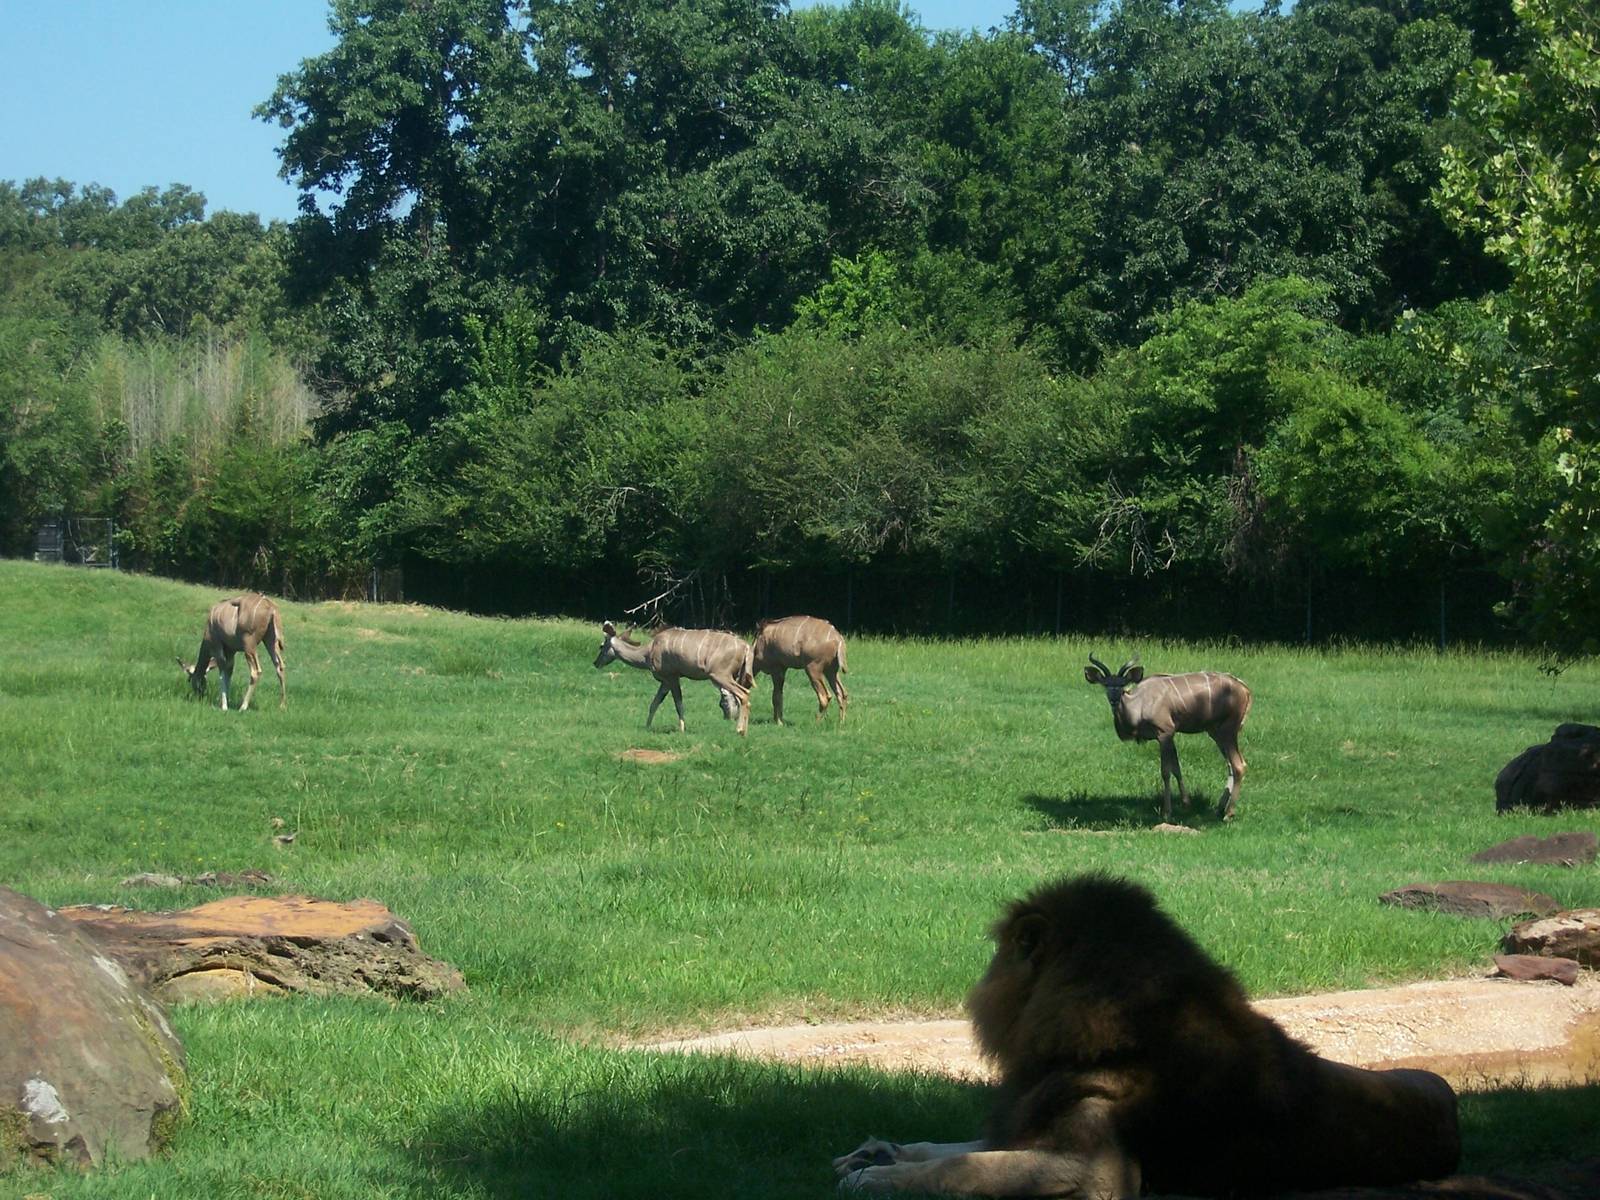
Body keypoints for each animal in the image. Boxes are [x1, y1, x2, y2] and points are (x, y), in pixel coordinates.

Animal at [833, 875, 1460, 1197]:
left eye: (1000, 956)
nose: (978, 978)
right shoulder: (1023, 1122)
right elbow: (951, 1150)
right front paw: (877, 1151)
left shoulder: (1097, 1175)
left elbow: (958, 1171)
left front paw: (873, 1178)